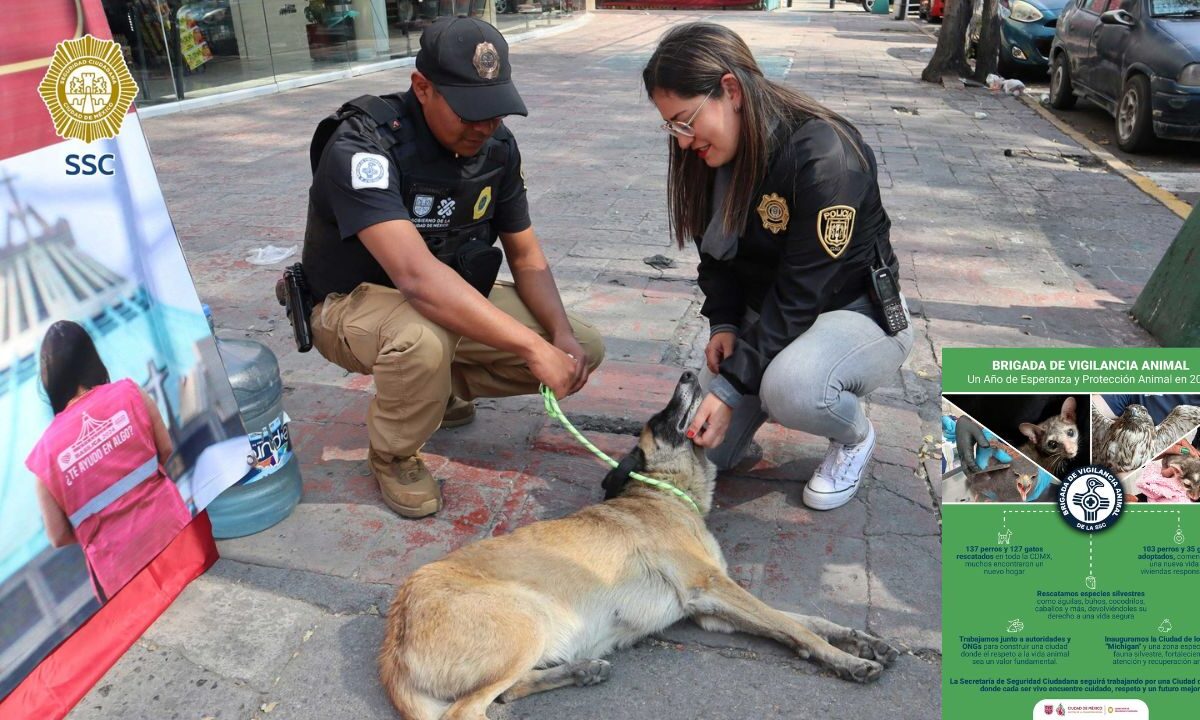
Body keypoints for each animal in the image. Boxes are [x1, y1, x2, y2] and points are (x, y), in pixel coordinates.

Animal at [379, 374, 897, 715]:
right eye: (659, 419)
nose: (689, 373)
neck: (662, 492)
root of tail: (395, 639)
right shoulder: (709, 589)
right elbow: (797, 627)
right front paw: (846, 661)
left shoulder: (714, 610)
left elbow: (804, 621)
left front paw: (858, 641)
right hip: (526, 623)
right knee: (469, 710)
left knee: (505, 692)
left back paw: (581, 670)